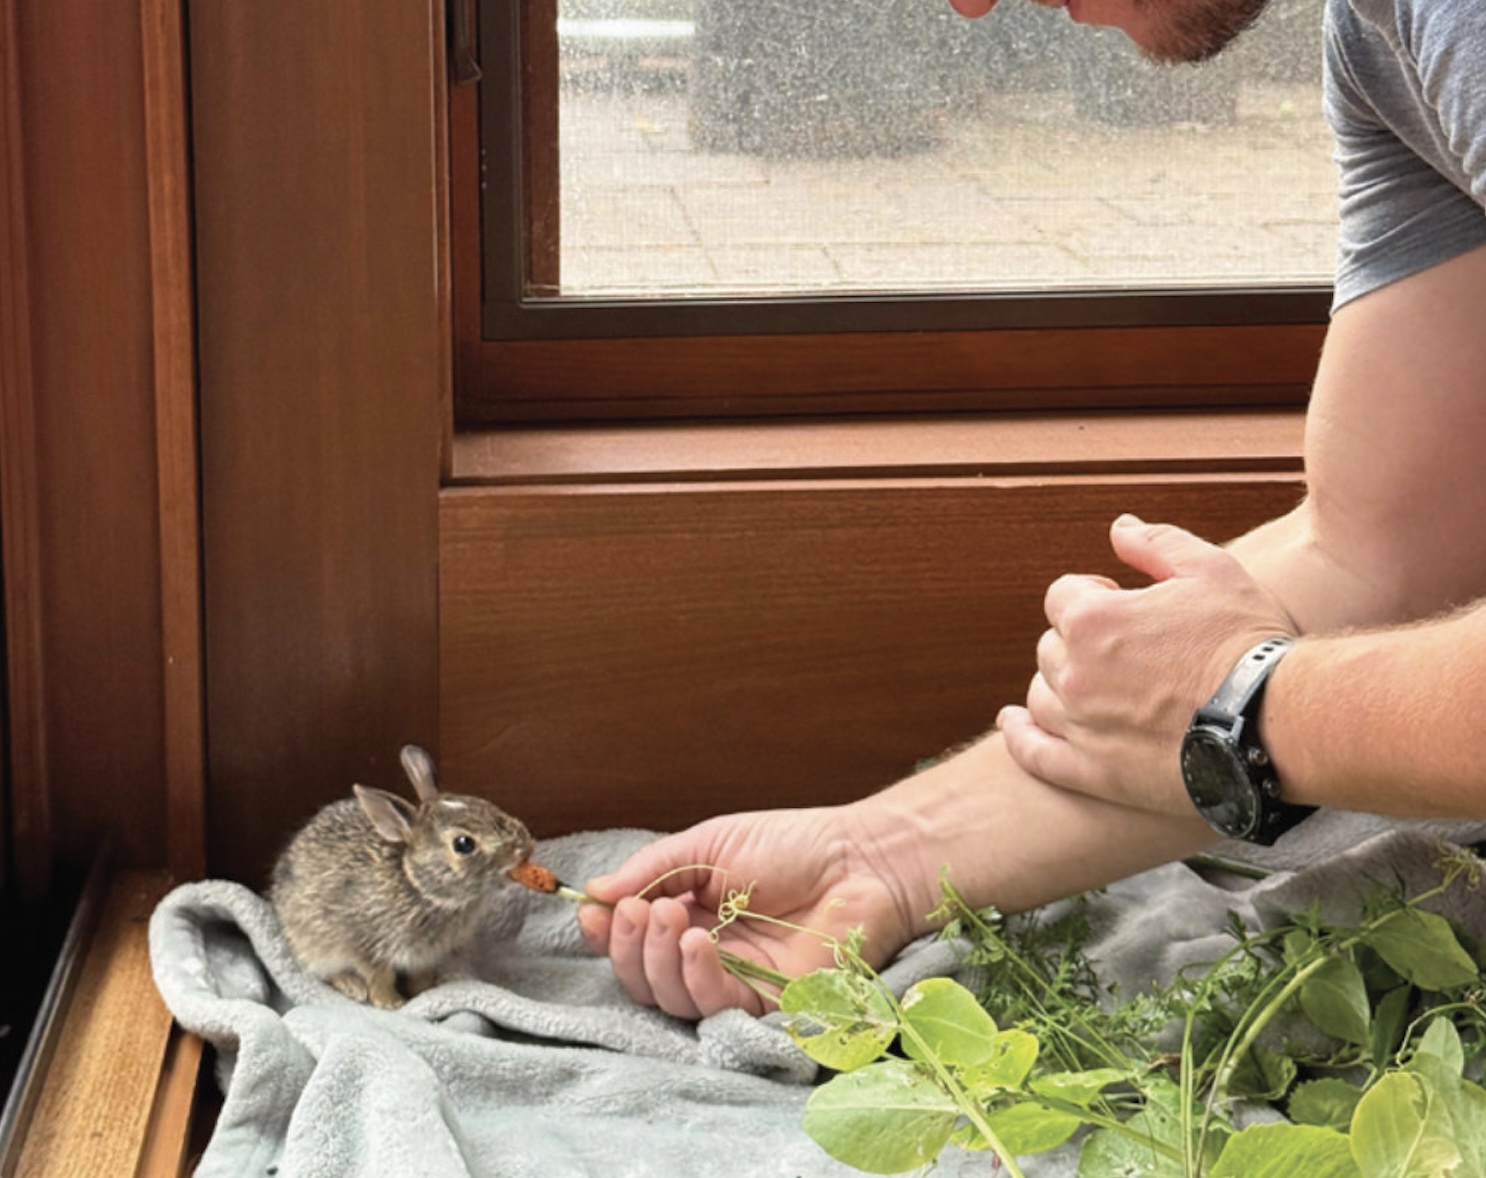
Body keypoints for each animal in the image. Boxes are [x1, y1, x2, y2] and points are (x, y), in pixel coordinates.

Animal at [268, 743, 536, 1008]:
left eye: (482, 803)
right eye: (463, 844)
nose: (525, 848)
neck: (418, 885)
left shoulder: (423, 956)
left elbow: (420, 974)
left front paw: (424, 991)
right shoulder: (366, 944)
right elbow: (381, 975)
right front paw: (391, 1003)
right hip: (314, 943)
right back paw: (352, 986)